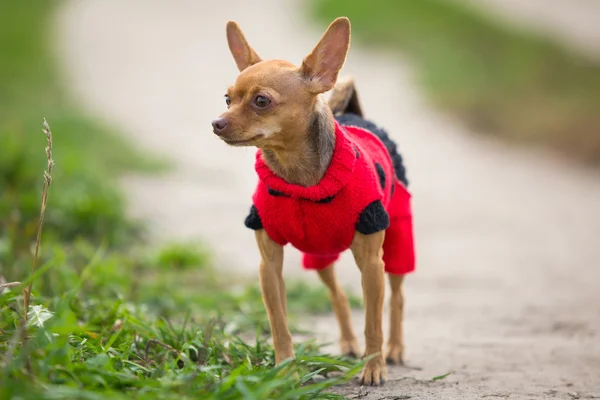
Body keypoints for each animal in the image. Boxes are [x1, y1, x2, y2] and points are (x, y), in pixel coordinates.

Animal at [213, 17, 414, 386]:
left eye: (261, 101)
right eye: (227, 98)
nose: (216, 122)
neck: (300, 181)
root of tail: (356, 114)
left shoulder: (372, 265)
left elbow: (373, 322)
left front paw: (373, 367)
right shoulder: (269, 266)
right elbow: (278, 322)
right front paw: (284, 368)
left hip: (395, 246)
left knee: (397, 298)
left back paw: (393, 349)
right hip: (320, 256)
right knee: (338, 294)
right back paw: (348, 343)